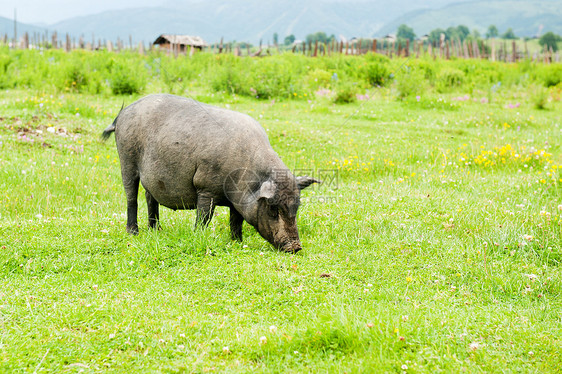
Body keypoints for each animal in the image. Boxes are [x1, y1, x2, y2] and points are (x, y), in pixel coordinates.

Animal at [101, 93, 320, 254]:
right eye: (273, 209)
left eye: (296, 207)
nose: (296, 247)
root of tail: (123, 113)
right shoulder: (205, 187)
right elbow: (204, 217)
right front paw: (199, 236)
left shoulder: (236, 201)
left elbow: (236, 221)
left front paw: (237, 242)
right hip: (126, 159)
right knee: (131, 197)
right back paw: (134, 233)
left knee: (150, 198)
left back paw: (156, 231)